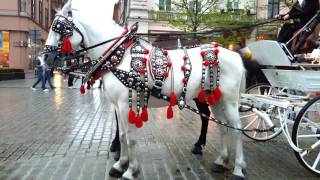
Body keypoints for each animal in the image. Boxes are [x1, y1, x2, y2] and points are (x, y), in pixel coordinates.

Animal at [43, 0, 246, 179]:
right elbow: (122, 135)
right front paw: (120, 165)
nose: (46, 58)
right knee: (222, 127)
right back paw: (221, 161)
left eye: (58, 28)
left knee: (236, 128)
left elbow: (130, 138)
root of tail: (235, 54)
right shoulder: (117, 106)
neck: (119, 57)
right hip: (214, 97)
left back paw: (238, 169)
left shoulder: (126, 105)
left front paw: (130, 171)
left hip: (229, 100)